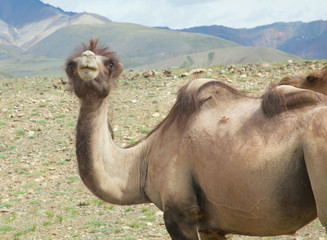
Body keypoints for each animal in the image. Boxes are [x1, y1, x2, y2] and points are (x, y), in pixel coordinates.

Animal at [65, 38, 327, 239]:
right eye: (71, 64)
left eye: (109, 63)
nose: (87, 61)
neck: (143, 158)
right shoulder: (211, 224)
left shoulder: (179, 212)